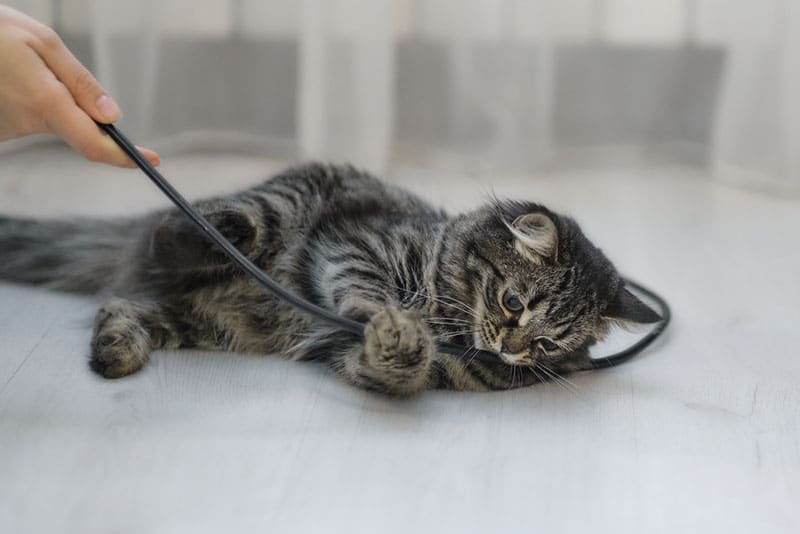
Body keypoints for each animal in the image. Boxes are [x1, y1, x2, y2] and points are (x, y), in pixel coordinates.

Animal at [0, 165, 660, 396]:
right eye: (512, 302)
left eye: (547, 343)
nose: (511, 347)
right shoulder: (359, 245)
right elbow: (364, 294)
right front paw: (391, 321)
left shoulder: (355, 357)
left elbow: (399, 368)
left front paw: (401, 342)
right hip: (282, 202)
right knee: (179, 226)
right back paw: (212, 230)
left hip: (201, 322)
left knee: (120, 307)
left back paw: (115, 352)